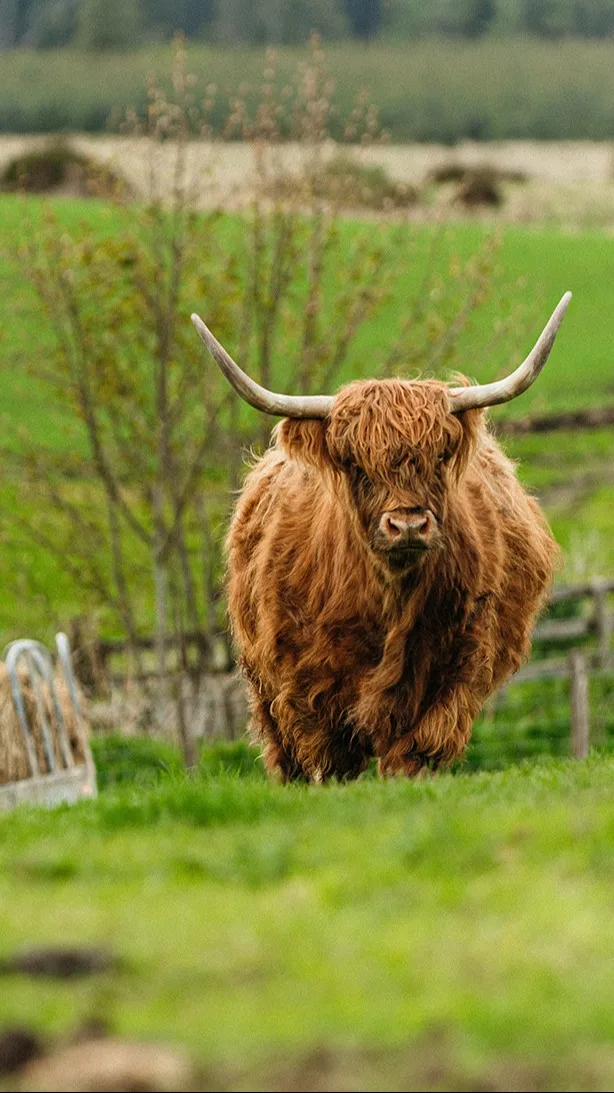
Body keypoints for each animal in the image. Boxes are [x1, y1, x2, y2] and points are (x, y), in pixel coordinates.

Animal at [192, 292, 570, 782]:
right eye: (355, 463)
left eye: (439, 456)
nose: (407, 525)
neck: (388, 598)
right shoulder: (304, 684)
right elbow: (330, 759)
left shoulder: (454, 668)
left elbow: (414, 751)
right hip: (263, 686)